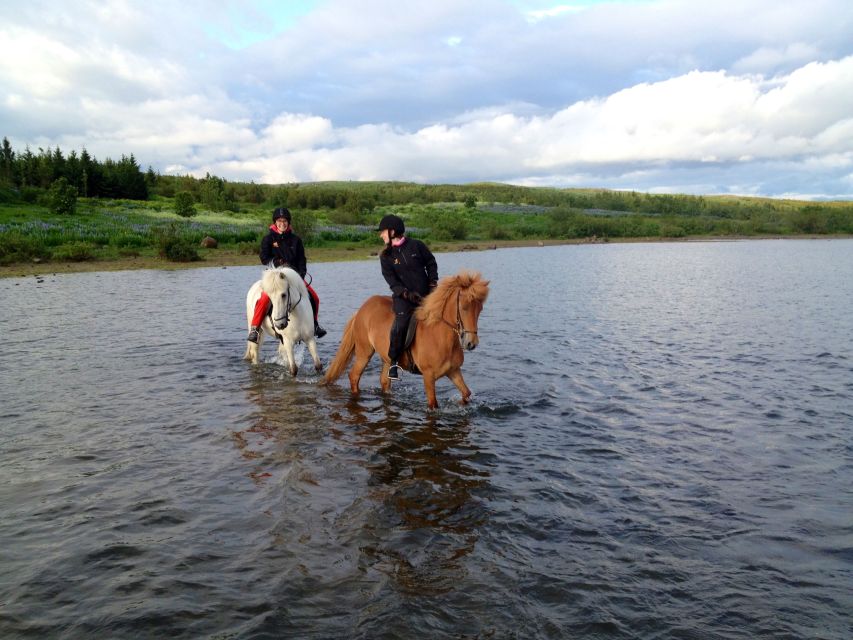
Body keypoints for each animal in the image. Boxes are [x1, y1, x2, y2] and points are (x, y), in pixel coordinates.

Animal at [322, 270, 490, 410]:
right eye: (464, 307)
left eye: (480, 309)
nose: (471, 343)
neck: (440, 336)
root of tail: (361, 309)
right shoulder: (428, 377)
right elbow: (433, 404)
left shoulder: (454, 371)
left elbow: (466, 393)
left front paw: (461, 403)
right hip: (365, 352)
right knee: (354, 376)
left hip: (387, 359)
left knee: (384, 381)